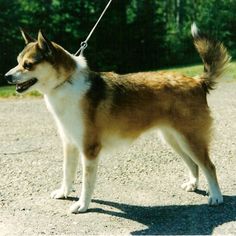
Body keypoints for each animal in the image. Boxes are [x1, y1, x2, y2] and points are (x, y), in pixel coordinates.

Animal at [4, 24, 230, 214]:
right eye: (17, 62)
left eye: (28, 65)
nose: (6, 77)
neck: (66, 83)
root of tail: (198, 81)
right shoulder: (69, 144)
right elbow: (67, 173)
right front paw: (64, 193)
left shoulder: (89, 149)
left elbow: (87, 182)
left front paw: (82, 205)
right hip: (174, 139)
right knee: (194, 164)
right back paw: (193, 184)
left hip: (190, 139)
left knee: (209, 166)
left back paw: (216, 197)